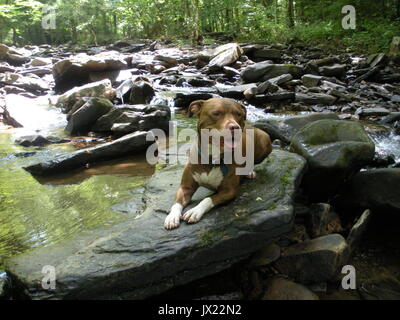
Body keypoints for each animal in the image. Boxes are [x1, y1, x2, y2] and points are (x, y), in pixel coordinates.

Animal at [163, 97, 272, 230]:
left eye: (238, 114)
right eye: (216, 113)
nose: (234, 127)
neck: (212, 158)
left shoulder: (229, 191)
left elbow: (208, 199)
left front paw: (195, 211)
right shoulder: (185, 187)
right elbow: (177, 202)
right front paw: (172, 217)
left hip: (265, 140)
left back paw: (249, 172)